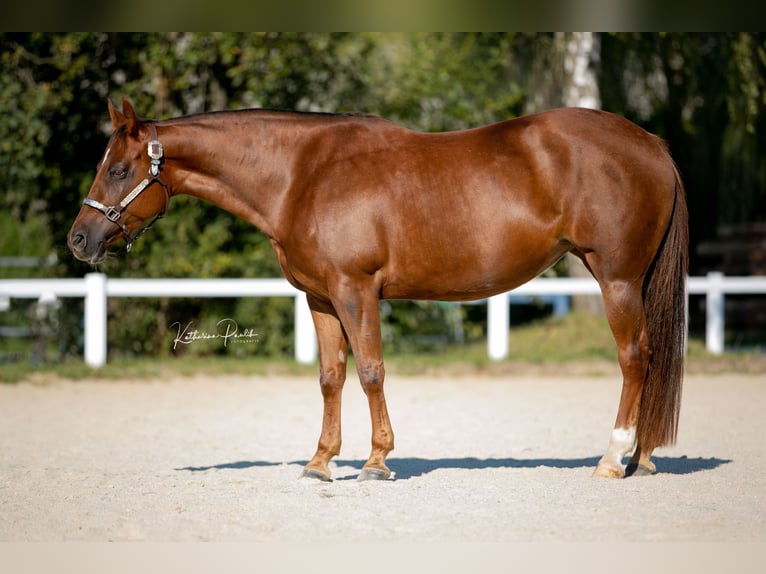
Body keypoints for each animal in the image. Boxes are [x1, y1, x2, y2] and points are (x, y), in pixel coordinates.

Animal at [67, 99, 688, 482]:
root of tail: (651, 144)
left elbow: (370, 371)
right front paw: (320, 462)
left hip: (617, 279)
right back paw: (642, 459)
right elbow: (331, 377)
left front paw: (376, 461)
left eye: (118, 169)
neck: (302, 174)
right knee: (652, 357)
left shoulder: (355, 289)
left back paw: (612, 458)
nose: (79, 239)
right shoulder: (320, 298)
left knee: (634, 358)